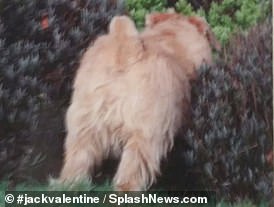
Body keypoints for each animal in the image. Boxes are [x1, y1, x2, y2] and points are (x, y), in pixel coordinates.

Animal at [58, 11, 219, 191]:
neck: (173, 34)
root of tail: (125, 51)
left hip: (84, 127)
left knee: (76, 162)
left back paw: (70, 186)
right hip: (145, 134)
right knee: (132, 169)